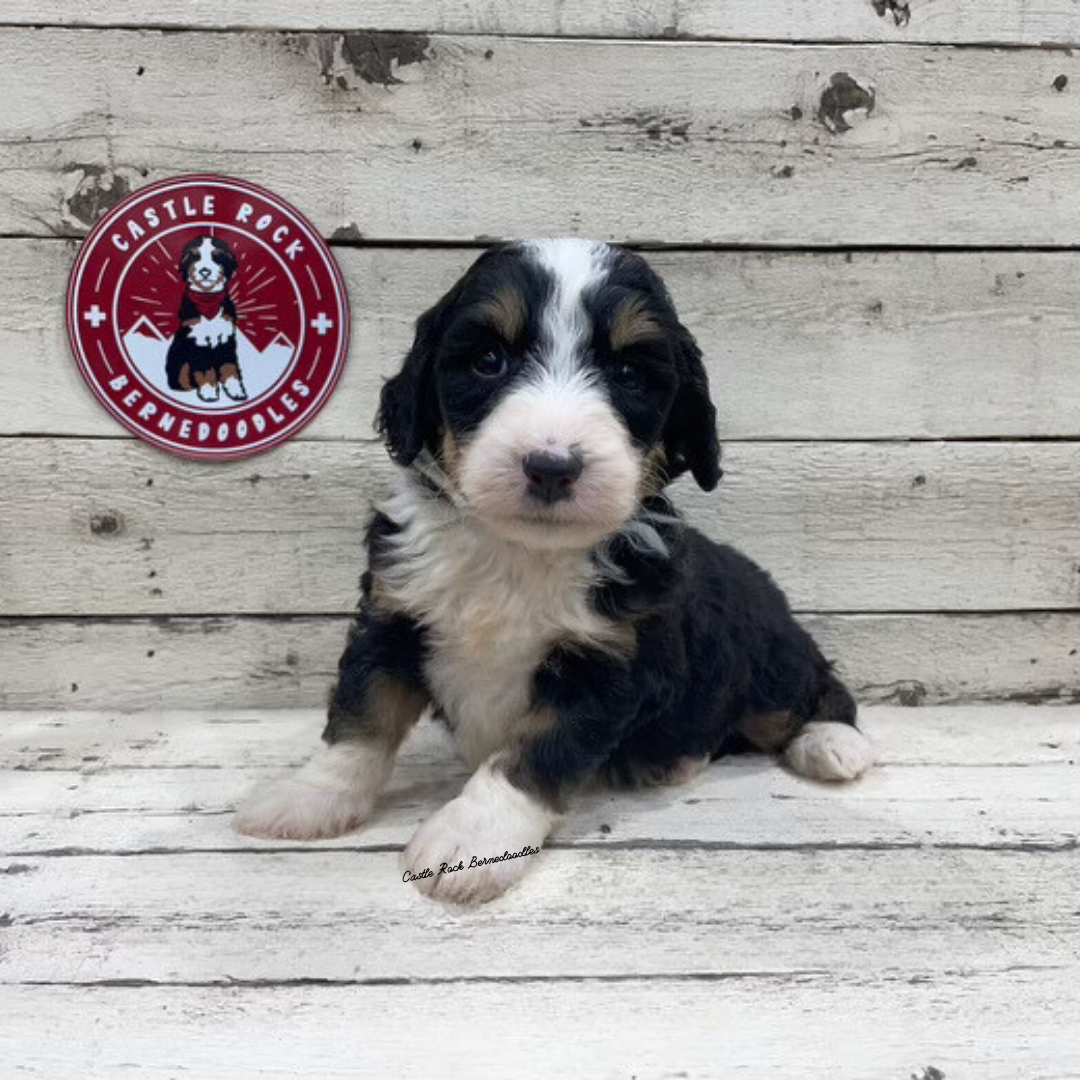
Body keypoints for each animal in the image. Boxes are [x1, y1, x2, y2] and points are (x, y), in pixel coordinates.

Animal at [238, 238, 876, 902]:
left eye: (628, 375)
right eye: (488, 360)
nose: (551, 467)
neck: (518, 551)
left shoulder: (606, 663)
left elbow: (531, 751)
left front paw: (471, 838)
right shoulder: (393, 615)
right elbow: (362, 715)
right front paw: (310, 796)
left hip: (767, 656)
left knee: (813, 692)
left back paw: (833, 745)